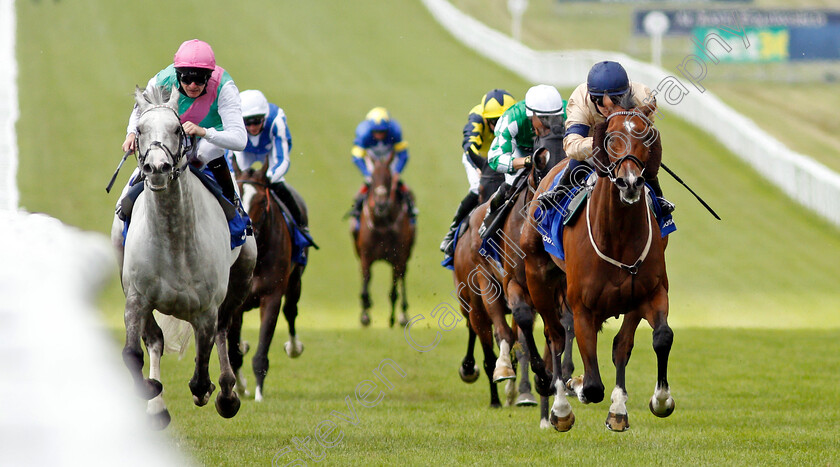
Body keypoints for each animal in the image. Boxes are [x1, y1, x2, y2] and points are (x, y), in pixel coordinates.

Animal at [231, 157, 310, 402]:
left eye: (260, 200)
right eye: (236, 197)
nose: (248, 233)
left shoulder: (271, 295)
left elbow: (262, 350)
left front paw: (258, 393)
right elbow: (233, 352)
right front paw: (240, 387)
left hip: (295, 281)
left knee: (291, 311)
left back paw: (294, 347)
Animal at [352, 152, 414, 328]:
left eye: (388, 177)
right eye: (373, 177)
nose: (380, 202)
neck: (382, 224)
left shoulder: (398, 258)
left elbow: (394, 290)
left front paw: (393, 319)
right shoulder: (366, 256)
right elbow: (365, 282)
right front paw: (365, 314)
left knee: (402, 278)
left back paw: (403, 315)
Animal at [520, 100, 672, 434]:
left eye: (647, 136)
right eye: (611, 137)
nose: (630, 182)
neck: (617, 236)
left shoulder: (649, 293)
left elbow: (654, 338)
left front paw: (657, 400)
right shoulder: (582, 309)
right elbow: (591, 386)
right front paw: (573, 387)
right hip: (537, 277)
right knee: (554, 337)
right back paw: (560, 406)